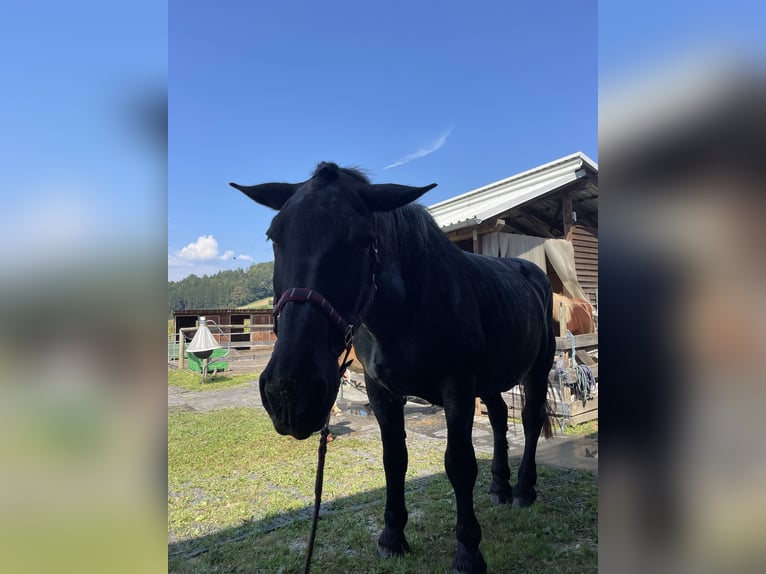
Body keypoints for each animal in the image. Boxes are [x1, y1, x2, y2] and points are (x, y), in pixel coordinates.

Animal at [231, 162, 556, 574]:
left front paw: (468, 551)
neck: (407, 310)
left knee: (529, 420)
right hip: (490, 379)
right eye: (275, 236)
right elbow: (394, 460)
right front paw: (392, 535)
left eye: (362, 239)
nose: (289, 393)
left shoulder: (458, 387)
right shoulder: (381, 391)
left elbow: (460, 464)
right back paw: (500, 486)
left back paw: (524, 489)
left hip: (537, 368)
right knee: (499, 417)